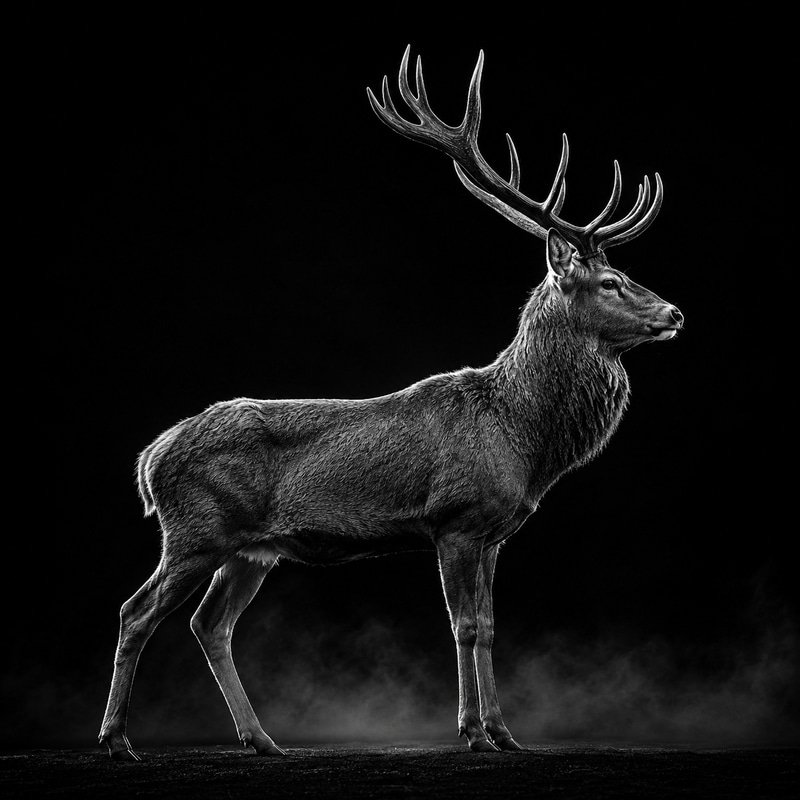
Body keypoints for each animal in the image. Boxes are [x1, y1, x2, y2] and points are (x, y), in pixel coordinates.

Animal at [99, 46, 683, 761]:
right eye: (609, 282)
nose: (675, 313)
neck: (521, 435)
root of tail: (151, 458)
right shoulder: (455, 518)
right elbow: (464, 626)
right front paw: (472, 734)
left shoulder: (496, 533)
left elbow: (491, 625)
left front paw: (507, 734)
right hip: (195, 527)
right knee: (136, 612)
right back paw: (118, 741)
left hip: (248, 548)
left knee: (210, 624)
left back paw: (261, 740)